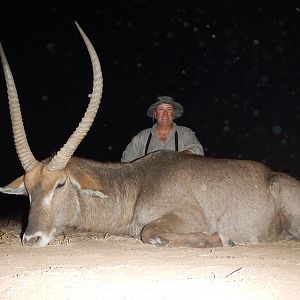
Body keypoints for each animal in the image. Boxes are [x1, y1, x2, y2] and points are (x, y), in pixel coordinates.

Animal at [0, 23, 300, 247]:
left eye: (60, 184)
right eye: (28, 189)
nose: (31, 238)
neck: (137, 184)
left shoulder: (188, 218)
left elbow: (150, 233)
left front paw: (220, 239)